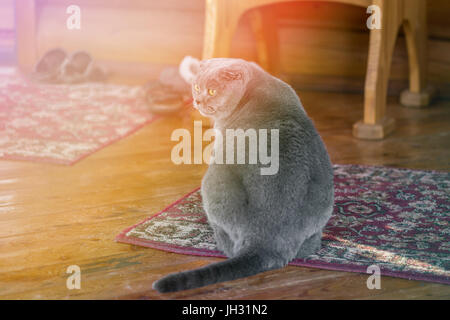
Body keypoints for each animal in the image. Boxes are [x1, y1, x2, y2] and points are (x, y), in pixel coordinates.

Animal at [153, 57, 332, 292]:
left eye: (212, 91)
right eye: (197, 87)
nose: (197, 100)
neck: (257, 85)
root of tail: (265, 242)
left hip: (213, 180)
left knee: (228, 245)